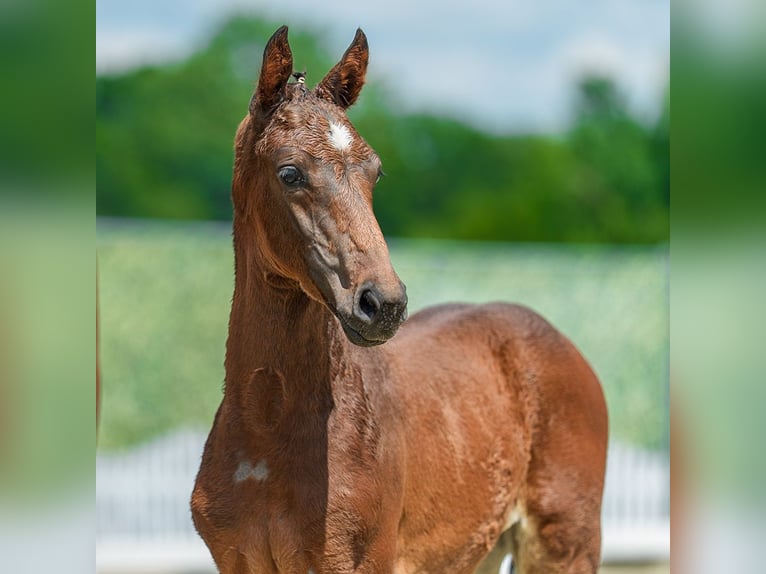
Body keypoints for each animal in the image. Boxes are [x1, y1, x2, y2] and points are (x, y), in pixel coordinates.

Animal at [191, 26, 608, 574]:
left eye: (376, 172)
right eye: (289, 173)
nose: (383, 304)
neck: (266, 428)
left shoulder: (359, 560)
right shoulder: (237, 560)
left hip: (564, 545)